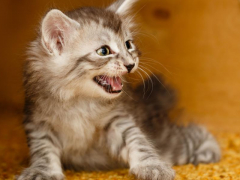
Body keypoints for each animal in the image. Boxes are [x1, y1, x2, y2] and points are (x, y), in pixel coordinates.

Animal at [18, 0, 221, 180]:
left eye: (128, 45)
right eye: (104, 51)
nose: (130, 64)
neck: (79, 100)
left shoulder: (117, 119)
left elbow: (137, 141)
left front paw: (152, 166)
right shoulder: (38, 123)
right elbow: (43, 150)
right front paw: (41, 172)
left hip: (169, 143)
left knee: (193, 132)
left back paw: (211, 150)